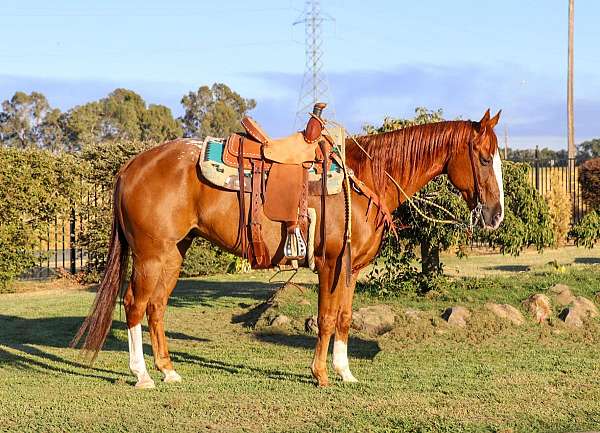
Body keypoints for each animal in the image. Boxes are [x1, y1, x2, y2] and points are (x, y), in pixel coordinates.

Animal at [75, 109, 506, 386]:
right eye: (485, 158)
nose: (496, 215)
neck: (364, 178)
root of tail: (131, 166)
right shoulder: (331, 263)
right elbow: (327, 318)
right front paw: (321, 375)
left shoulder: (351, 267)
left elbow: (345, 318)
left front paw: (345, 372)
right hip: (151, 254)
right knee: (135, 304)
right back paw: (143, 375)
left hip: (175, 252)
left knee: (157, 306)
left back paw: (167, 370)